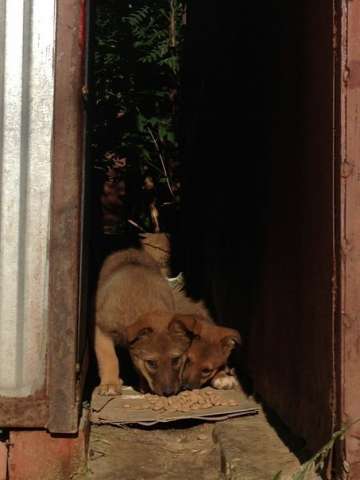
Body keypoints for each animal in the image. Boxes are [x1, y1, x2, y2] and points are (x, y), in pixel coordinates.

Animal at [94, 249, 193, 396]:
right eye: (151, 363)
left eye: (175, 360)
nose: (169, 393)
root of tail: (129, 250)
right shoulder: (102, 330)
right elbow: (109, 358)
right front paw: (110, 384)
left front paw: (144, 386)